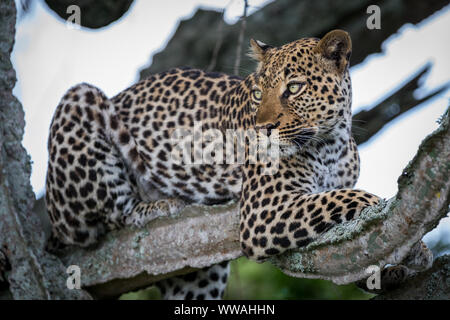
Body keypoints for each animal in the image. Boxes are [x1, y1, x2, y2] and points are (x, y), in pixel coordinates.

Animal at [37, 30, 428, 300]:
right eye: (257, 93)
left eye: (294, 88)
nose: (262, 127)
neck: (329, 142)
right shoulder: (263, 212)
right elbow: (354, 198)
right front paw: (415, 246)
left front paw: (394, 267)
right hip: (80, 99)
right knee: (97, 222)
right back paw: (157, 206)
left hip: (197, 281)